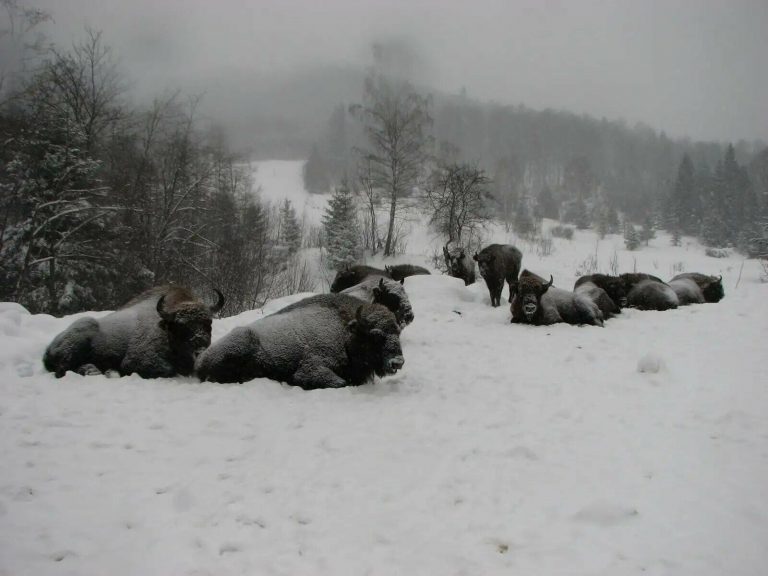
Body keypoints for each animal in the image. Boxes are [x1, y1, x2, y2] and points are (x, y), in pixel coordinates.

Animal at [42, 284, 224, 378]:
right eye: (180, 325)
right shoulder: (137, 361)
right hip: (81, 334)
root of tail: (49, 347)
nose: (200, 348)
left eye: (208, 322)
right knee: (63, 369)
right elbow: (167, 370)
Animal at [195, 294, 404, 390]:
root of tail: (200, 360)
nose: (398, 362)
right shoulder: (311, 369)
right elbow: (340, 383)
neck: (345, 330)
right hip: (242, 342)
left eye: (397, 332)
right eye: (376, 335)